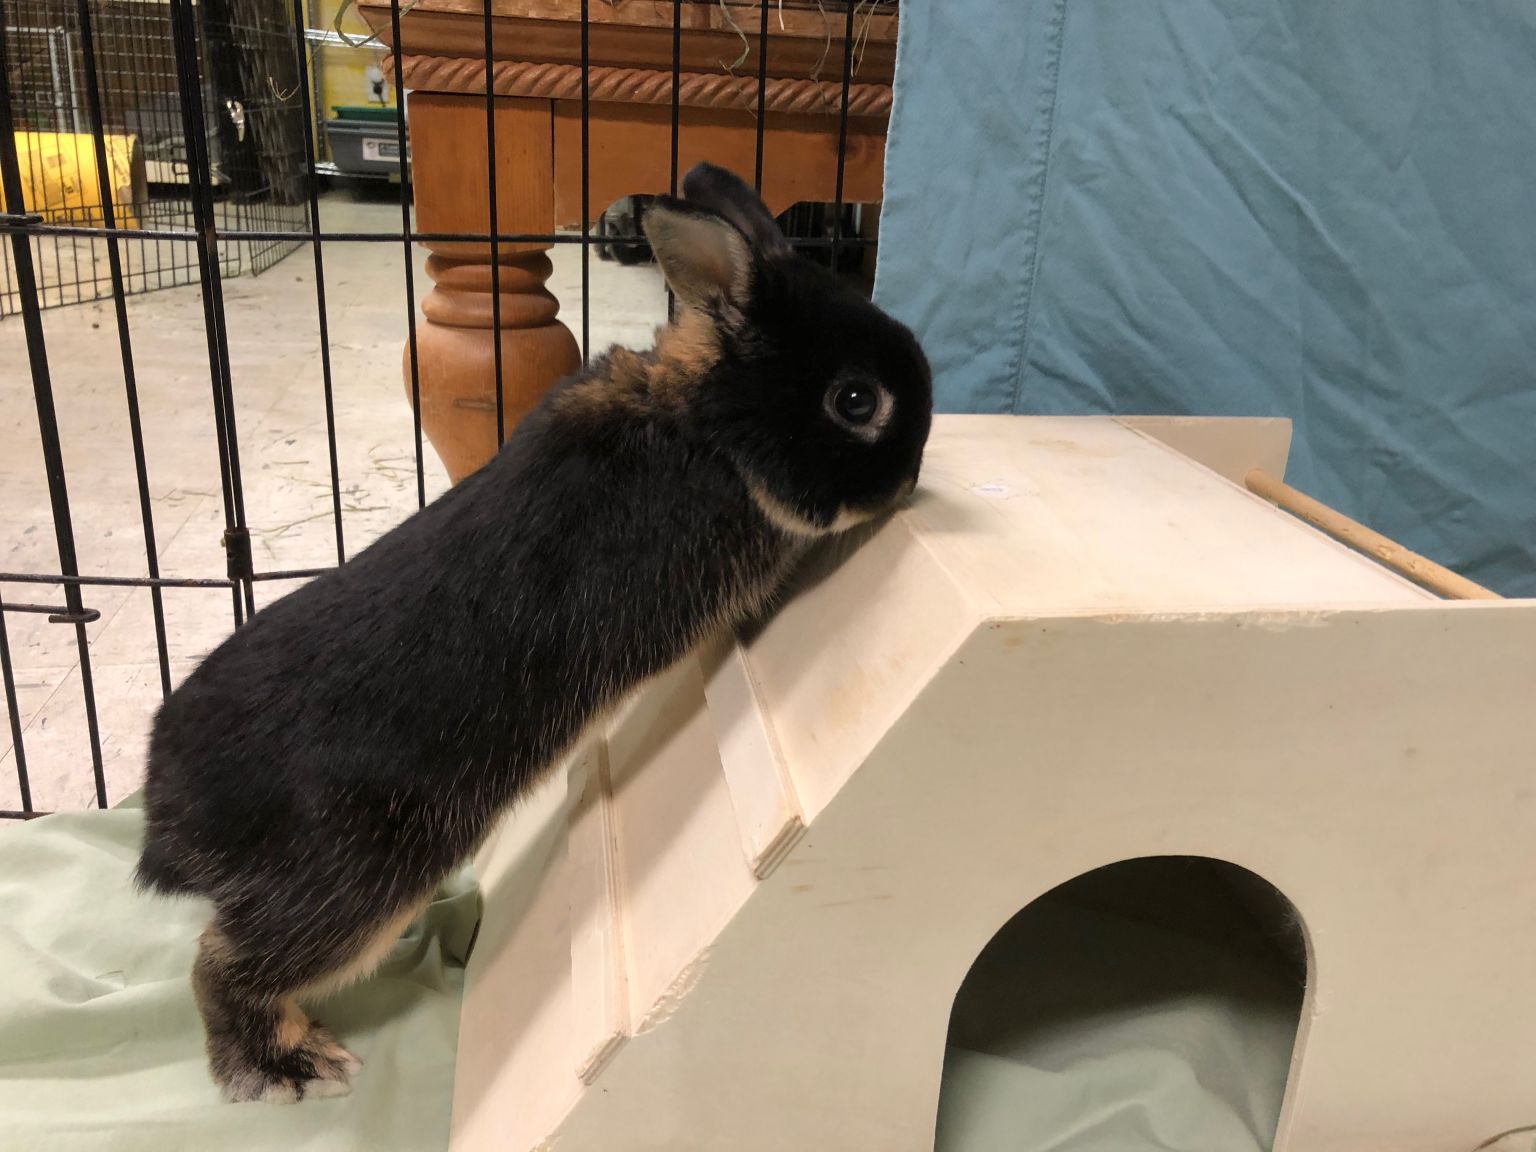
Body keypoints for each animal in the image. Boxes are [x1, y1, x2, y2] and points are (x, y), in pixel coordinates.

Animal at [135, 162, 933, 1103]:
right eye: (856, 400)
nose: (914, 474)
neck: (708, 426)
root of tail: (168, 808)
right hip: (359, 881)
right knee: (224, 963)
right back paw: (286, 1065)